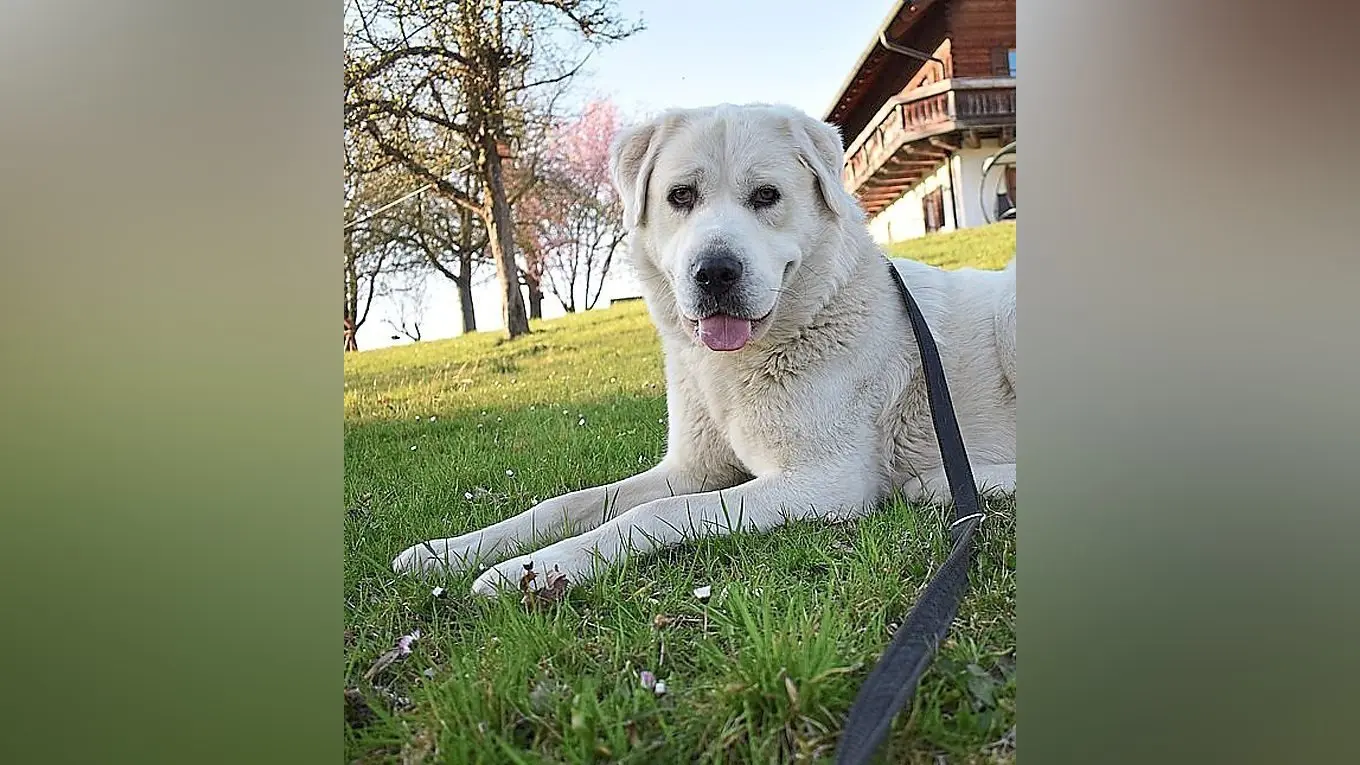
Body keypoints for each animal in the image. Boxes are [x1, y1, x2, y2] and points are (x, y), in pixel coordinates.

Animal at [392, 103, 1016, 596]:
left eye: (766, 196)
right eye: (680, 196)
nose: (714, 273)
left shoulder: (825, 483)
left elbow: (650, 514)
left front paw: (536, 569)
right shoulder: (693, 467)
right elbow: (565, 504)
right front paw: (449, 552)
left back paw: (940, 485)